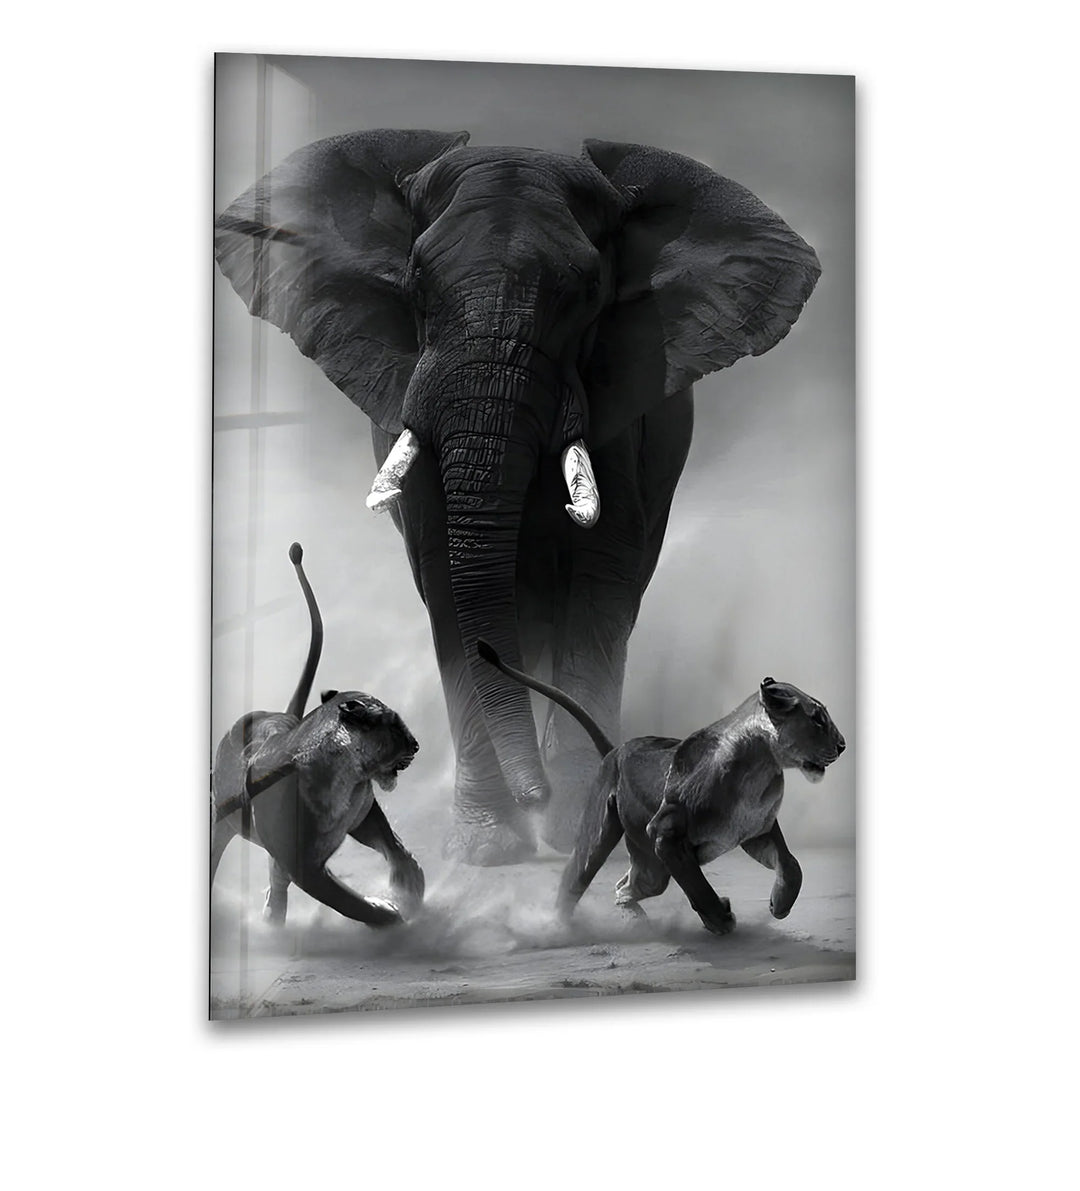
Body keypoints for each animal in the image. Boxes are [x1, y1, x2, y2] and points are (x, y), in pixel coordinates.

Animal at [212, 544, 424, 927]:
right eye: (394, 723)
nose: (416, 746)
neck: (350, 779)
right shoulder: (305, 868)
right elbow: (348, 902)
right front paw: (391, 913)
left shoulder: (364, 817)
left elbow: (392, 844)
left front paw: (410, 881)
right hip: (221, 826)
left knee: (275, 878)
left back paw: (273, 919)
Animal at [213, 129, 820, 866]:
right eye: (417, 284)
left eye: (587, 295)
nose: (537, 797)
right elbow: (447, 585)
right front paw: (490, 846)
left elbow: (600, 584)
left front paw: (574, 828)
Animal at [477, 639, 845, 935]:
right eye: (817, 719)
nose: (843, 746)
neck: (762, 767)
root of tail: (617, 749)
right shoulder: (665, 833)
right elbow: (697, 885)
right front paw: (720, 919)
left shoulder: (757, 832)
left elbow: (792, 865)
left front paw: (779, 905)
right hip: (609, 841)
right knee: (575, 879)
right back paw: (555, 928)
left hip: (651, 870)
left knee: (625, 885)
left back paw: (634, 918)